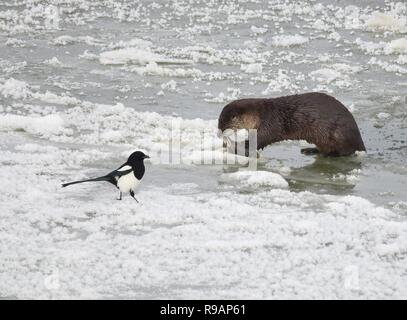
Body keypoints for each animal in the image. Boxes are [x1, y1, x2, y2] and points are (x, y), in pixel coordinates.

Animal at [218, 92, 368, 157]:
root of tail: (360, 141)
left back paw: (330, 155)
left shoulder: (270, 123)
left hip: (339, 133)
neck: (259, 114)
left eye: (222, 122)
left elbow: (263, 138)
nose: (219, 131)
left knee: (346, 151)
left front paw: (243, 144)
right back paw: (310, 150)